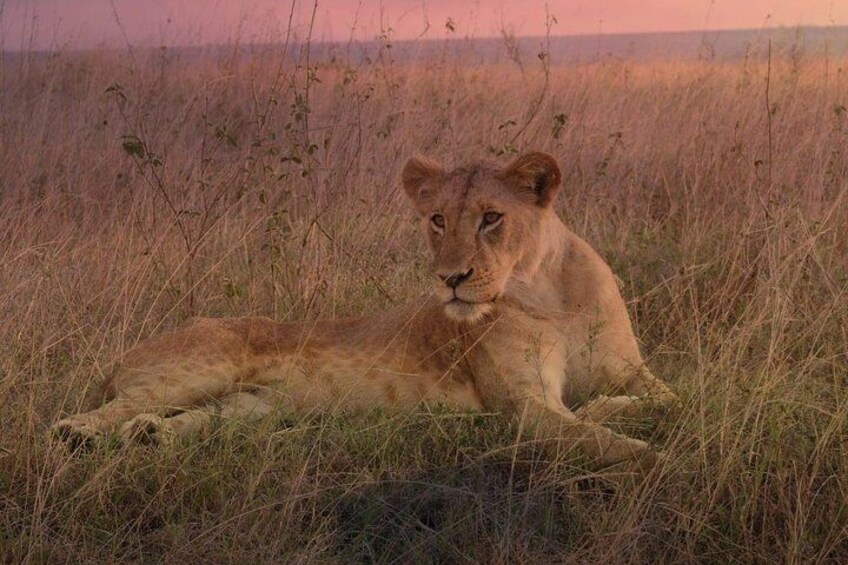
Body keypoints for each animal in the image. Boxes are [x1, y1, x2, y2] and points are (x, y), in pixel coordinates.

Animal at [51, 150, 676, 468]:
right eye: (437, 219)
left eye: (492, 218)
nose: (450, 279)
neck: (549, 294)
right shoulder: (521, 409)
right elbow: (612, 444)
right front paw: (658, 461)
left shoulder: (634, 373)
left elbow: (669, 401)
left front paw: (608, 411)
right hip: (203, 363)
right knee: (103, 411)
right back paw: (80, 436)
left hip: (252, 406)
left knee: (187, 420)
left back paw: (150, 437)